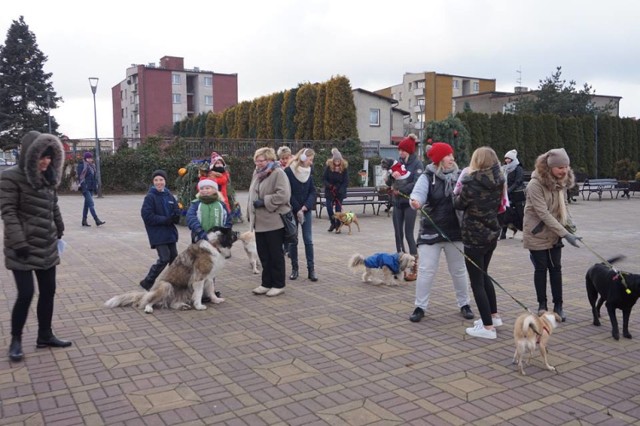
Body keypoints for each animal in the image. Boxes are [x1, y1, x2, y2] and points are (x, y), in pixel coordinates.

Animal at [105, 228, 238, 314]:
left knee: (172, 303)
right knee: (147, 301)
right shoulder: (199, 278)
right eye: (232, 232)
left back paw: (182, 306)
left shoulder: (209, 277)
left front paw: (216, 300)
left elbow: (210, 290)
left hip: (184, 290)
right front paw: (199, 306)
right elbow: (200, 293)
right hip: (166, 286)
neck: (214, 245)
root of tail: (149, 291)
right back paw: (148, 308)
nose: (238, 232)